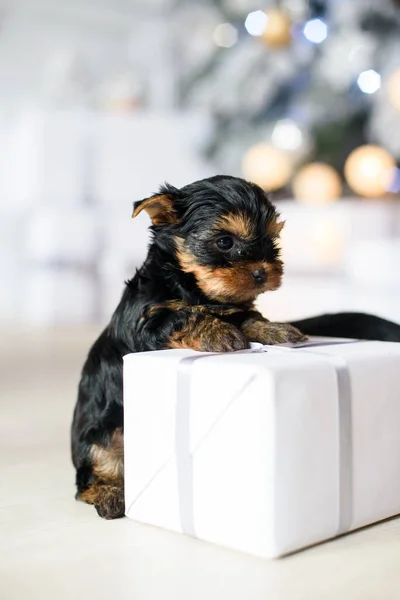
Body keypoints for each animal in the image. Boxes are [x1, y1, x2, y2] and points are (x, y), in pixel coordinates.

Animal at [70, 175, 400, 520]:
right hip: (101, 436)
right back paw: (110, 494)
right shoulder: (145, 323)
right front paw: (218, 332)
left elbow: (249, 317)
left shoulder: (236, 307)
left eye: (271, 239)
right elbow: (185, 316)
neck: (194, 288)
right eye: (225, 242)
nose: (262, 272)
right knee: (89, 478)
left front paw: (274, 329)